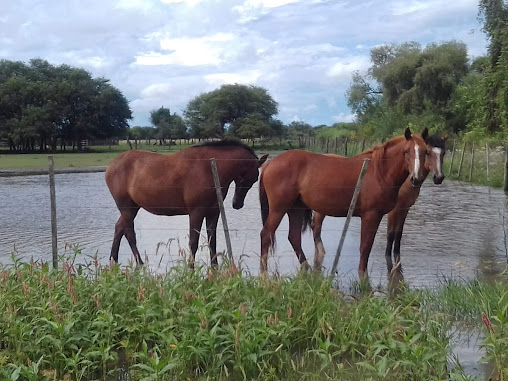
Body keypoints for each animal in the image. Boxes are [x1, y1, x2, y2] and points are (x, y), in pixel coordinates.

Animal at [105, 140, 268, 268]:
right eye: (253, 178)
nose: (237, 204)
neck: (209, 168)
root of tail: (111, 165)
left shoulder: (213, 212)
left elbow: (212, 240)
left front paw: (215, 267)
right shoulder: (196, 213)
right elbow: (193, 242)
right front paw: (191, 268)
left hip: (132, 208)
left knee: (120, 228)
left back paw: (114, 259)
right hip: (127, 208)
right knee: (128, 232)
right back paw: (138, 262)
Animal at [260, 127, 426, 274]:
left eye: (425, 152)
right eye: (406, 151)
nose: (416, 178)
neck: (379, 171)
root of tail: (269, 163)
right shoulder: (371, 215)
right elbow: (365, 248)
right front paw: (363, 276)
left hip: (296, 208)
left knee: (294, 237)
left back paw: (307, 269)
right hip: (279, 209)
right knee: (266, 234)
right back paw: (263, 273)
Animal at [312, 132, 446, 272]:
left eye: (444, 153)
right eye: (429, 152)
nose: (439, 177)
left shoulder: (405, 209)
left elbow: (399, 233)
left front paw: (397, 255)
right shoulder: (393, 211)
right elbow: (391, 233)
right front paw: (388, 256)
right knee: (316, 227)